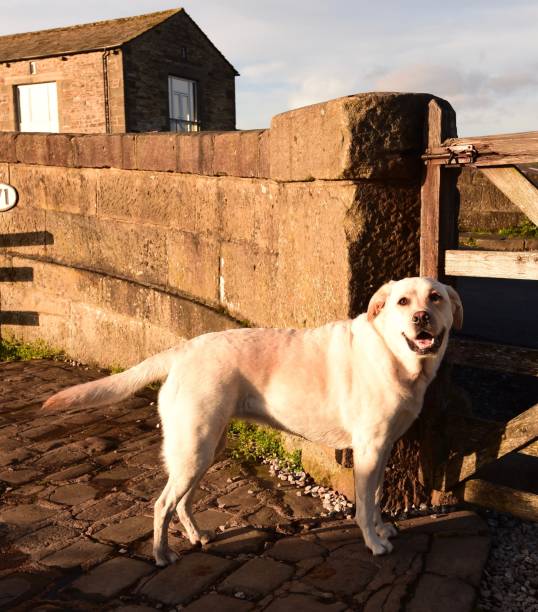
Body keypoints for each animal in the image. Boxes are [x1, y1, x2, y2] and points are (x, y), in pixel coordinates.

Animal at [44, 276, 460, 564]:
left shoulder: (383, 448)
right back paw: (162, 555)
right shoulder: (369, 450)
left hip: (205, 448)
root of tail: (183, 348)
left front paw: (383, 527)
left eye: (435, 297)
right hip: (194, 448)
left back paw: (197, 536)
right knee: (163, 504)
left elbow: (374, 498)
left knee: (182, 502)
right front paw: (374, 542)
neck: (396, 355)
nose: (421, 317)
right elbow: (363, 505)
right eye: (403, 301)